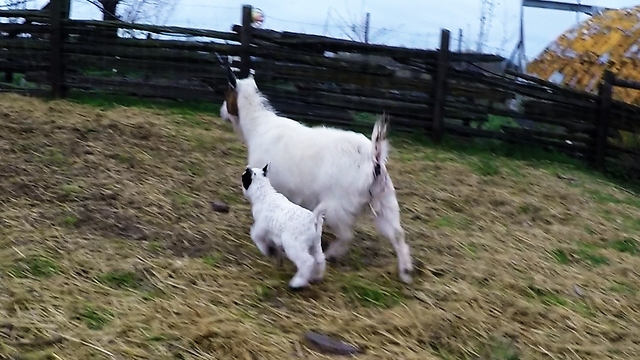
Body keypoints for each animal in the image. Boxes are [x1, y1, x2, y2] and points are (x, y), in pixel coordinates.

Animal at [222, 67, 412, 282]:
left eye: (226, 93)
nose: (223, 112)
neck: (259, 126)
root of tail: (374, 157)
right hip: (385, 202)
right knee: (397, 234)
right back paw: (405, 272)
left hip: (337, 206)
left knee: (346, 235)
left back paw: (330, 255)